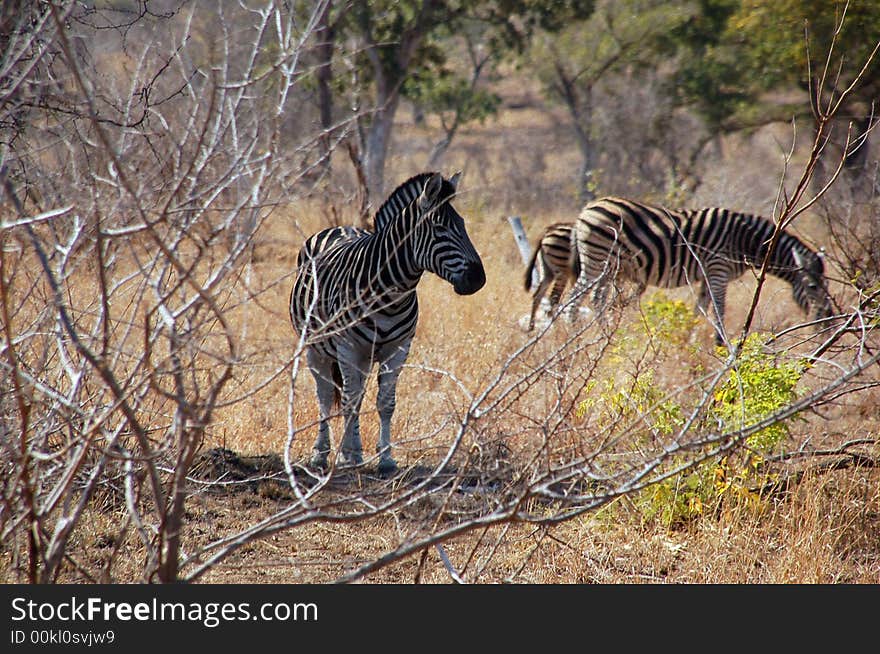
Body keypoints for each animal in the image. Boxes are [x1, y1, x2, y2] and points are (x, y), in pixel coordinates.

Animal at [288, 172, 484, 474]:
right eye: (440, 229)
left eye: (463, 225)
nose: (478, 279)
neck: (390, 294)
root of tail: (340, 227)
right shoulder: (347, 347)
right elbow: (347, 401)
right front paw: (350, 455)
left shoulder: (399, 348)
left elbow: (385, 403)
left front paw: (385, 459)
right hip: (315, 346)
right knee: (326, 395)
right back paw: (322, 453)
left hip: (364, 357)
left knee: (353, 393)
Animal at [572, 196, 832, 346]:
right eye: (813, 287)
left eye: (827, 286)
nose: (828, 325)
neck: (746, 240)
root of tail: (587, 208)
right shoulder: (718, 269)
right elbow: (719, 307)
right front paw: (721, 343)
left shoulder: (708, 273)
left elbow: (700, 308)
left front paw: (688, 338)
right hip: (597, 260)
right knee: (576, 299)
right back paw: (574, 335)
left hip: (609, 267)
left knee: (596, 298)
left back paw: (605, 335)